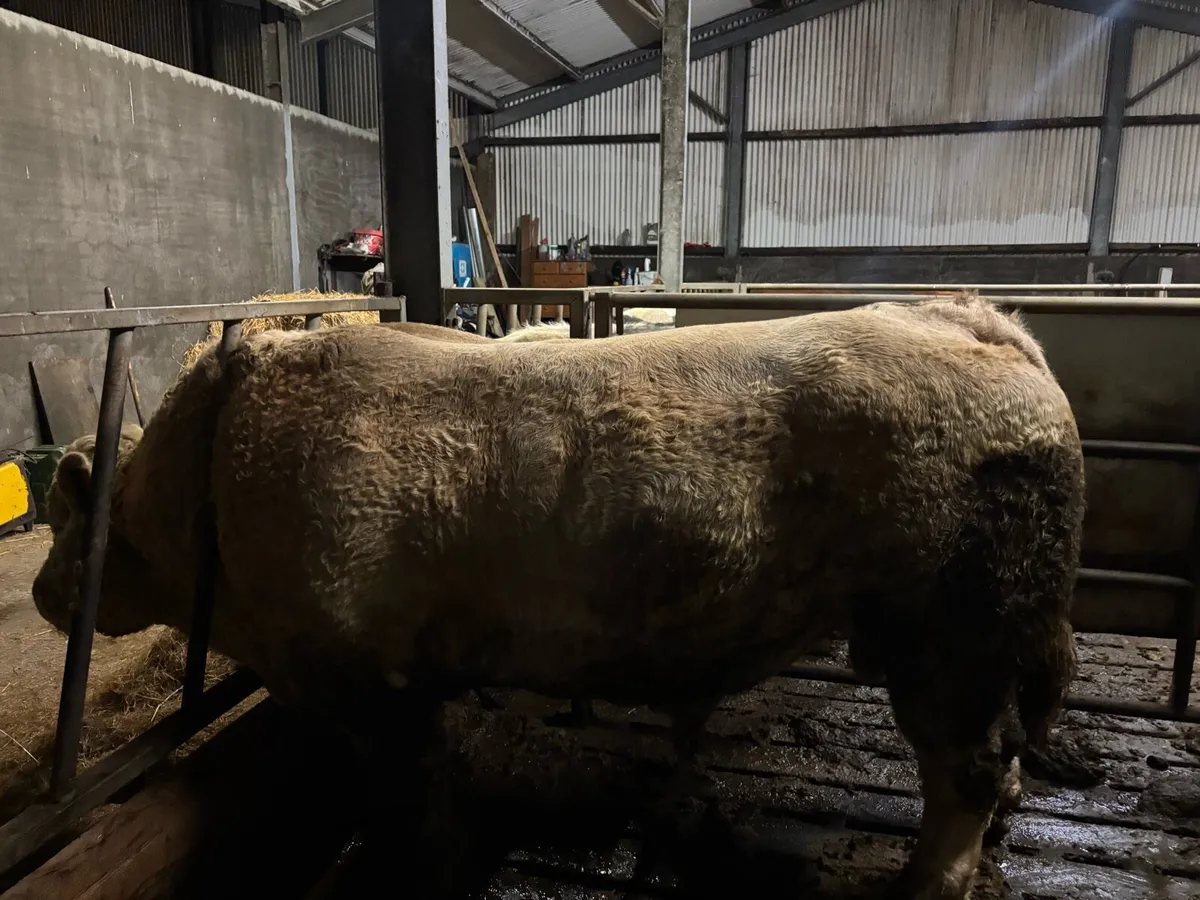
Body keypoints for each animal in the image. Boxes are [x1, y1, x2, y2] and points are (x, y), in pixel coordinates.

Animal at [32, 294, 1084, 900]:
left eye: (65, 520)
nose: (43, 592)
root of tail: (977, 320)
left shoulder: (370, 679)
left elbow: (412, 791)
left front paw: (417, 863)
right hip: (984, 635)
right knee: (997, 754)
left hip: (950, 632)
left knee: (967, 765)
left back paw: (926, 883)